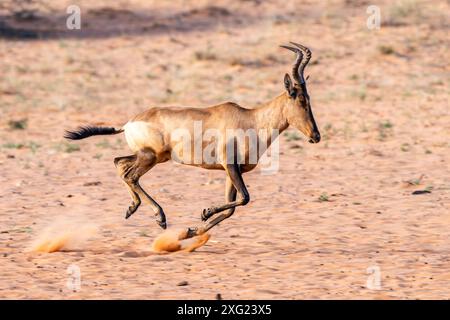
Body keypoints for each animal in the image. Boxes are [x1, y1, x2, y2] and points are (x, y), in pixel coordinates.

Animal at [66, 42, 320, 238]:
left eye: (309, 98)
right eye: (301, 100)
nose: (315, 136)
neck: (250, 119)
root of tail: (129, 123)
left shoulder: (231, 171)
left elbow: (232, 208)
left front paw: (191, 231)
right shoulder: (230, 165)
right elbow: (245, 199)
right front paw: (204, 213)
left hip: (151, 157)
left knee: (119, 163)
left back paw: (132, 208)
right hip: (151, 157)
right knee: (130, 175)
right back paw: (160, 217)